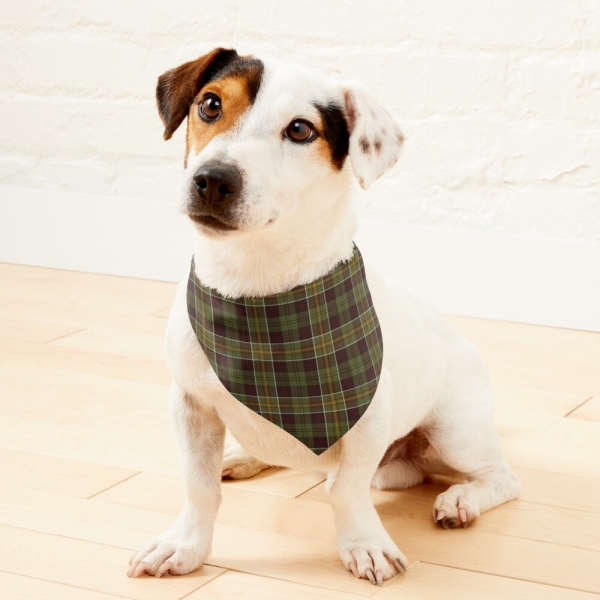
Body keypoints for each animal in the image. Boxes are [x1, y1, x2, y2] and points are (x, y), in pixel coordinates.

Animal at [127, 48, 520, 584]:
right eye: (210, 104)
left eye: (299, 130)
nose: (212, 179)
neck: (256, 290)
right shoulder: (190, 405)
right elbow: (199, 485)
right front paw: (185, 545)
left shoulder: (368, 420)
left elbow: (347, 490)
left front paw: (365, 544)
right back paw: (244, 456)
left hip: (456, 432)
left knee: (500, 477)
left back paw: (461, 499)